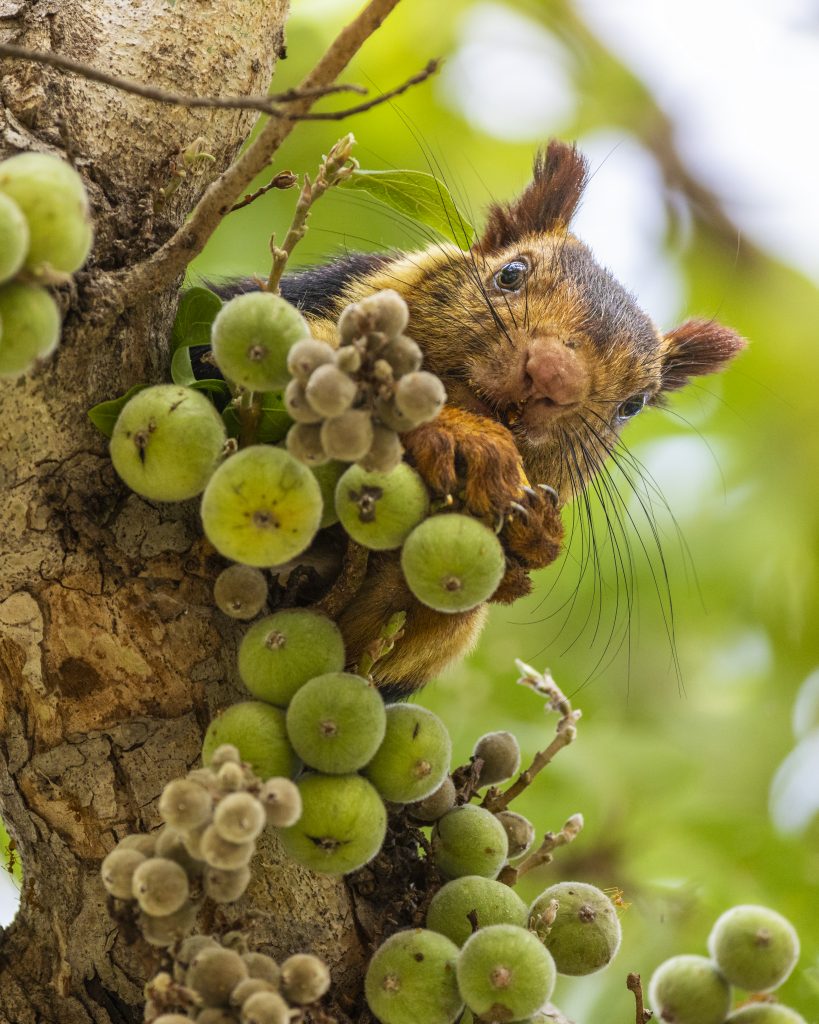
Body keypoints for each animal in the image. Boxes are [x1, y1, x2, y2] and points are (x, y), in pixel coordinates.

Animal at [202, 138, 741, 696]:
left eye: (631, 405)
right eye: (511, 273)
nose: (554, 376)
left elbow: (400, 630)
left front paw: (532, 536)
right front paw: (464, 436)